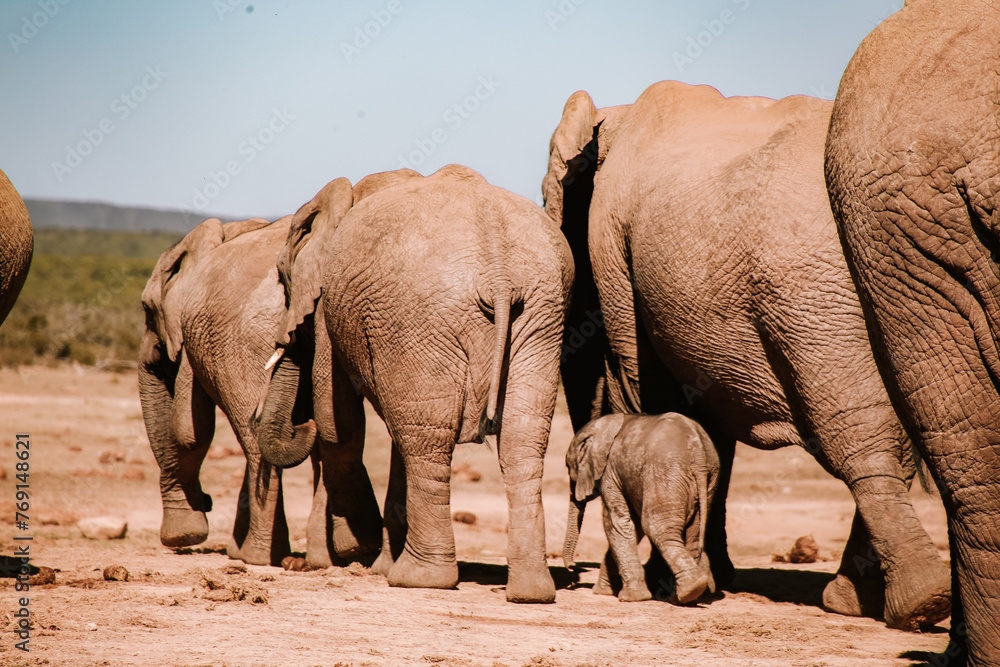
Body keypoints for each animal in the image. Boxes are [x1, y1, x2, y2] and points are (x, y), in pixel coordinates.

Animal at [139, 215, 382, 567]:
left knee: (255, 445)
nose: (207, 500)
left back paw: (259, 557)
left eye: (146, 310)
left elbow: (188, 432)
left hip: (244, 343)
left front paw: (187, 536)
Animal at [257, 164, 573, 603]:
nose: (299, 425)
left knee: (426, 441)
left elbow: (338, 422)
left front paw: (357, 548)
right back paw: (531, 592)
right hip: (541, 314)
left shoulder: (330, 310)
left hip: (422, 316)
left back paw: (418, 578)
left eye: (284, 279)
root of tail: (498, 272)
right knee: (520, 438)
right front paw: (373, 558)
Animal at [563, 413, 718, 604]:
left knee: (657, 527)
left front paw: (630, 598)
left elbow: (617, 522)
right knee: (693, 533)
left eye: (569, 467)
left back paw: (689, 590)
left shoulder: (609, 471)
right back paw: (683, 596)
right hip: (708, 479)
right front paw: (603, 591)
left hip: (664, 472)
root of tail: (699, 456)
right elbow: (633, 525)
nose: (573, 567)